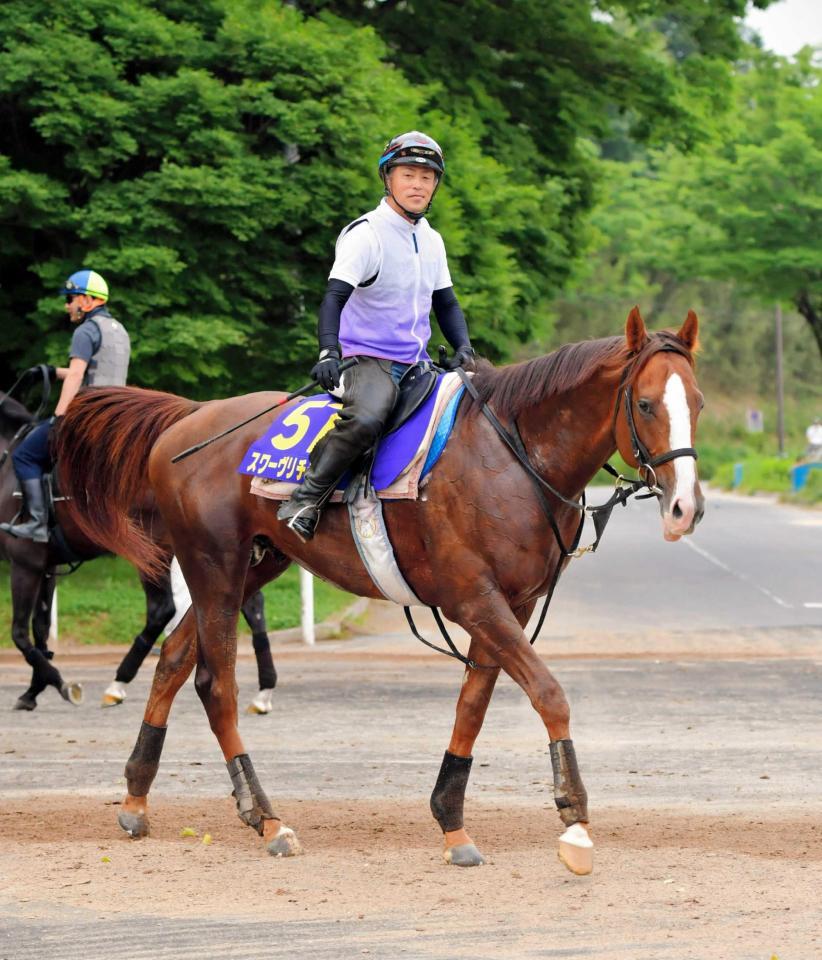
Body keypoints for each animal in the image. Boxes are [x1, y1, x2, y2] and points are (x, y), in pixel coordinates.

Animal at [0, 390, 276, 712]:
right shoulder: (46, 567)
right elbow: (40, 630)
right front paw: (34, 689)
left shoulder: (25, 563)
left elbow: (20, 633)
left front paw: (61, 684)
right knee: (249, 607)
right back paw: (264, 690)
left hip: (160, 551)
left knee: (162, 609)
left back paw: (118, 683)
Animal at [56, 310, 708, 876]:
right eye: (645, 404)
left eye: (697, 403)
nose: (685, 507)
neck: (510, 456)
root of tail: (188, 419)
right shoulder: (475, 599)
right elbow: (549, 693)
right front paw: (573, 821)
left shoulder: (512, 605)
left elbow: (473, 705)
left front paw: (452, 822)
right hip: (214, 564)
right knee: (215, 685)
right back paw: (265, 818)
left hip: (252, 567)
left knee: (170, 660)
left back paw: (136, 800)